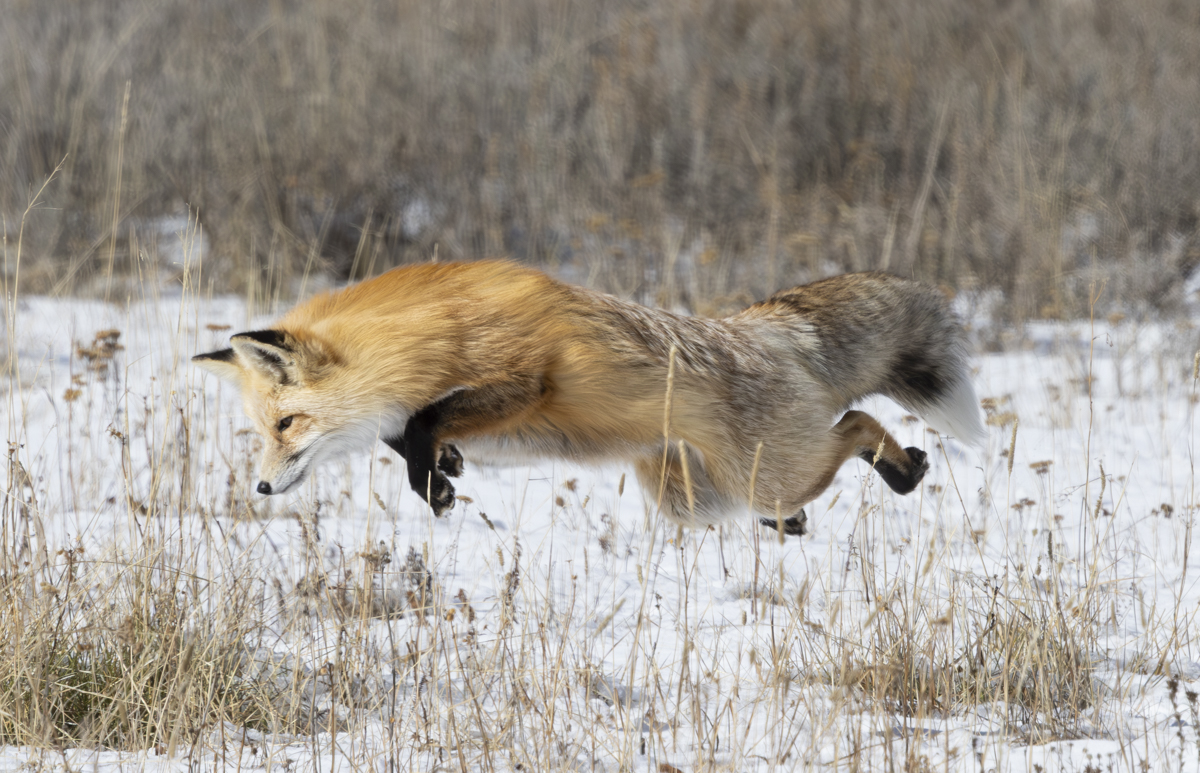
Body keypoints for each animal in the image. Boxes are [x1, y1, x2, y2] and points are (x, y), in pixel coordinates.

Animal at [193, 260, 984, 535]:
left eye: (287, 423)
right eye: (264, 429)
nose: (260, 487)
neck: (433, 334)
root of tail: (760, 326)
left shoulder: (526, 380)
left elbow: (422, 418)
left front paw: (434, 482)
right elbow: (408, 430)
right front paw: (444, 470)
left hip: (768, 472)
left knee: (857, 420)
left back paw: (904, 468)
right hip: (702, 501)